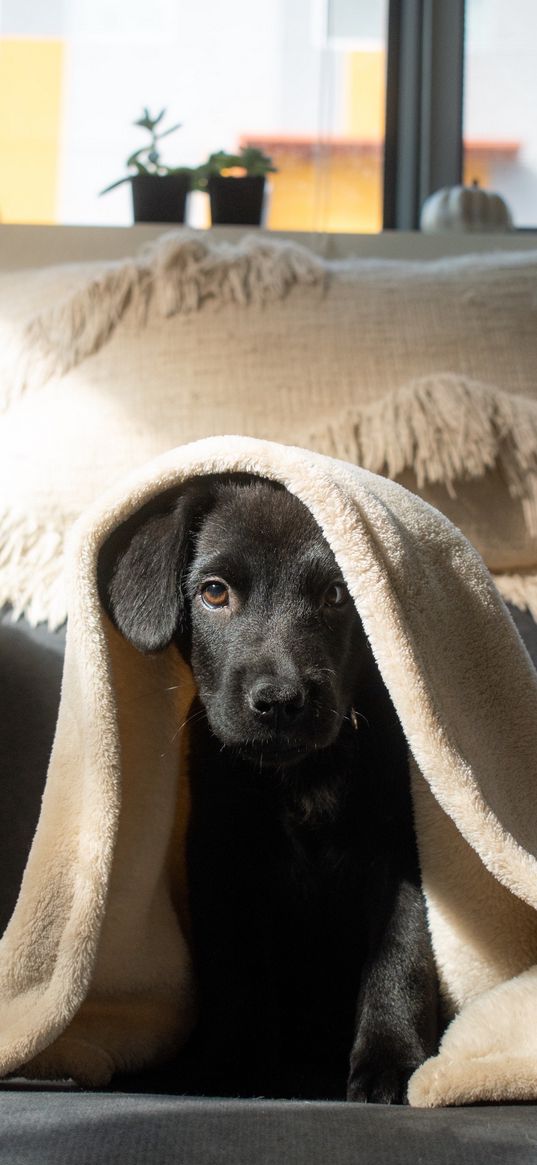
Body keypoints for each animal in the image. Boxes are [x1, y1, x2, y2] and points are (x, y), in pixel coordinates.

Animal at [101, 470, 440, 1099]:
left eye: (337, 595)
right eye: (214, 592)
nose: (281, 702)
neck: (301, 776)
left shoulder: (402, 849)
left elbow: (402, 956)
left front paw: (393, 1063)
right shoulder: (222, 861)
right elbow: (237, 977)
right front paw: (231, 1068)